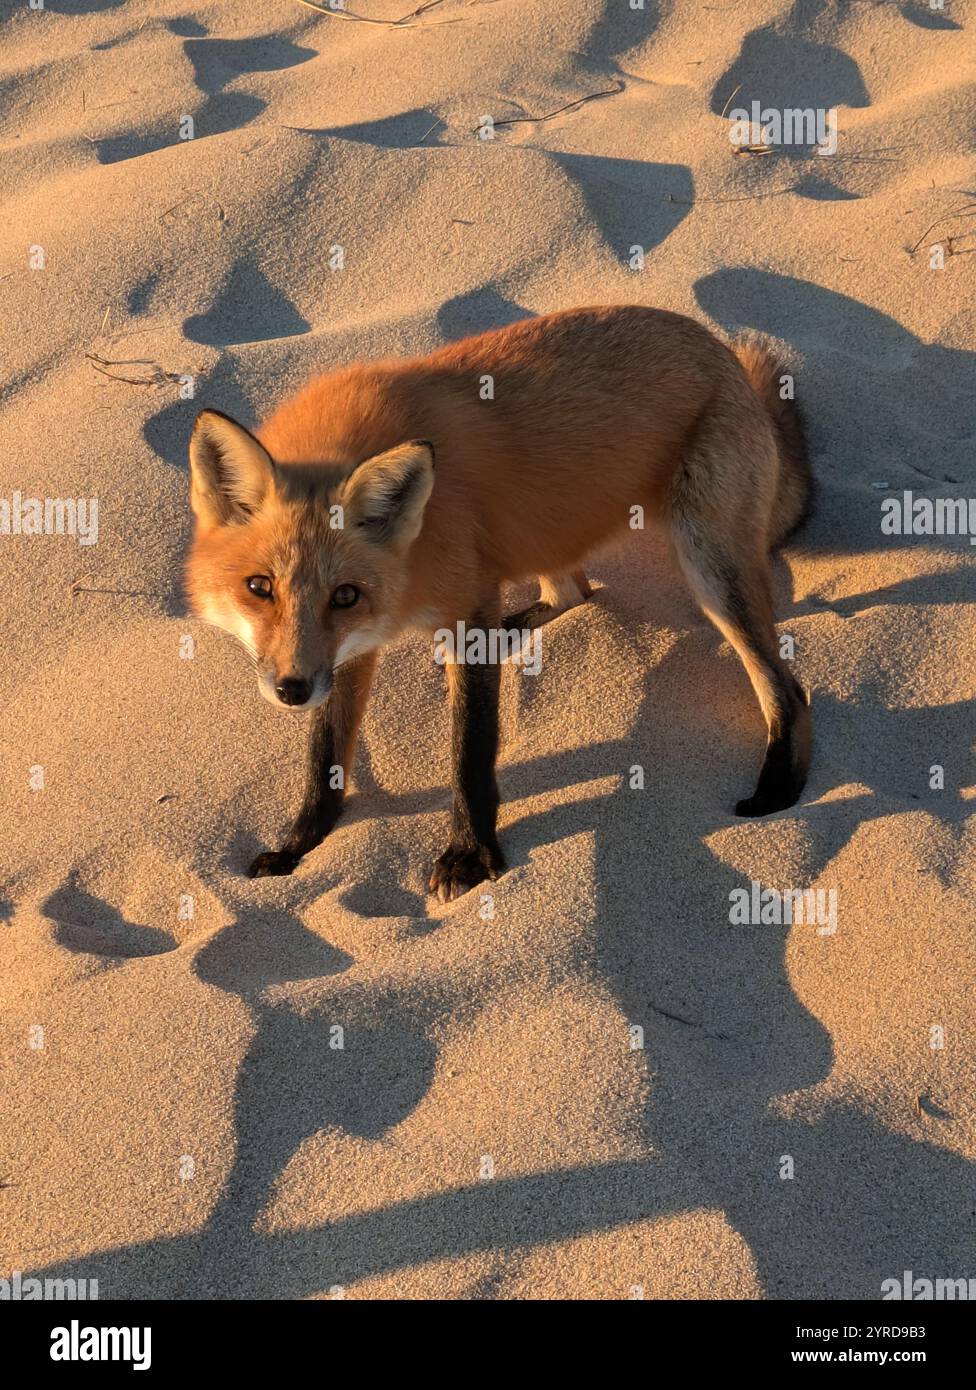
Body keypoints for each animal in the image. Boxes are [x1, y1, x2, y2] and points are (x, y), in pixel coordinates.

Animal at [185, 305, 812, 902]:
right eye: (260, 587)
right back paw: (521, 625)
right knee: (574, 591)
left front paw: (469, 853)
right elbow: (326, 756)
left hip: (710, 566)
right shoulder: (350, 650)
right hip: (549, 530)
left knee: (789, 689)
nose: (291, 691)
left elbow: (470, 750)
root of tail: (715, 346)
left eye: (344, 594)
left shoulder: (463, 612)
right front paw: (299, 845)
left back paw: (779, 787)